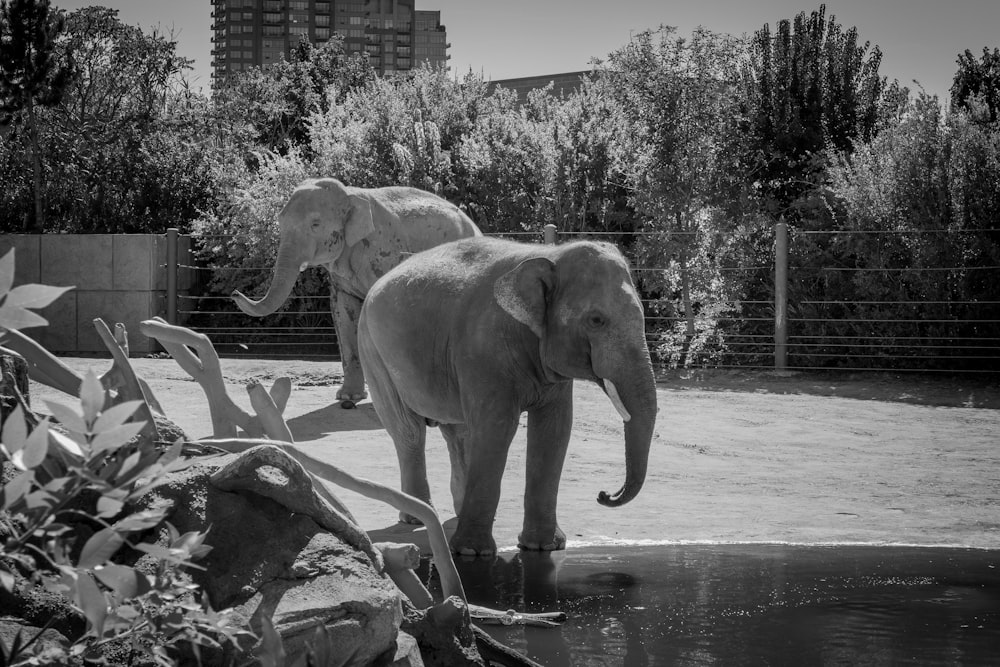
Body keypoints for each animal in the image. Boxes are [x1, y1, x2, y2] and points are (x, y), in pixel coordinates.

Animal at [235, 177, 484, 404]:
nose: (234, 293)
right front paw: (348, 397)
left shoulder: (384, 252)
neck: (349, 194)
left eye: (315, 224)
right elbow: (343, 312)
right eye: (280, 221)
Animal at [358, 236, 656, 560]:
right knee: (408, 431)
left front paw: (545, 547)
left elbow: (554, 430)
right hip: (373, 351)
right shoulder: (483, 349)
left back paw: (456, 511)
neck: (550, 254)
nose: (604, 494)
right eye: (596, 320)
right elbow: (497, 427)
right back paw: (418, 516)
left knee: (458, 433)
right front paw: (472, 552)